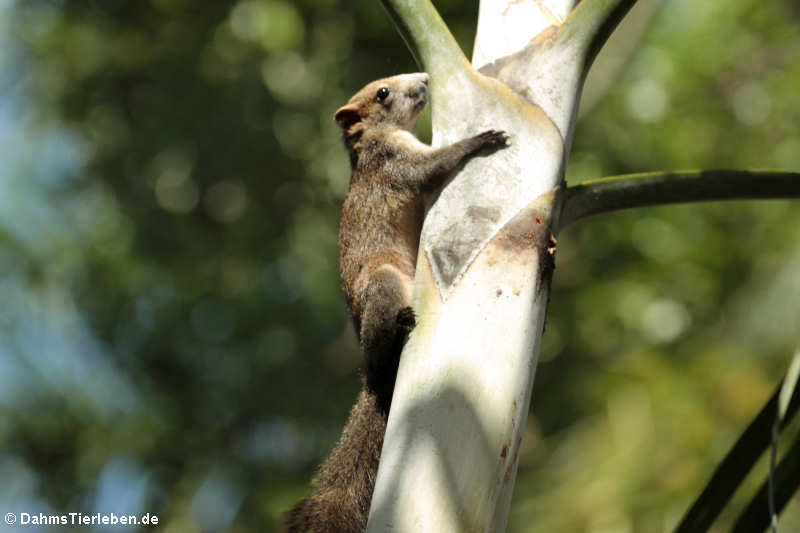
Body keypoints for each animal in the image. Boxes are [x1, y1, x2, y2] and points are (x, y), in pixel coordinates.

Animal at [282, 72, 506, 528]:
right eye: (381, 92)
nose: (425, 78)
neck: (374, 139)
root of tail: (375, 376)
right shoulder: (394, 163)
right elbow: (430, 167)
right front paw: (478, 140)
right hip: (384, 282)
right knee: (382, 341)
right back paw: (397, 331)